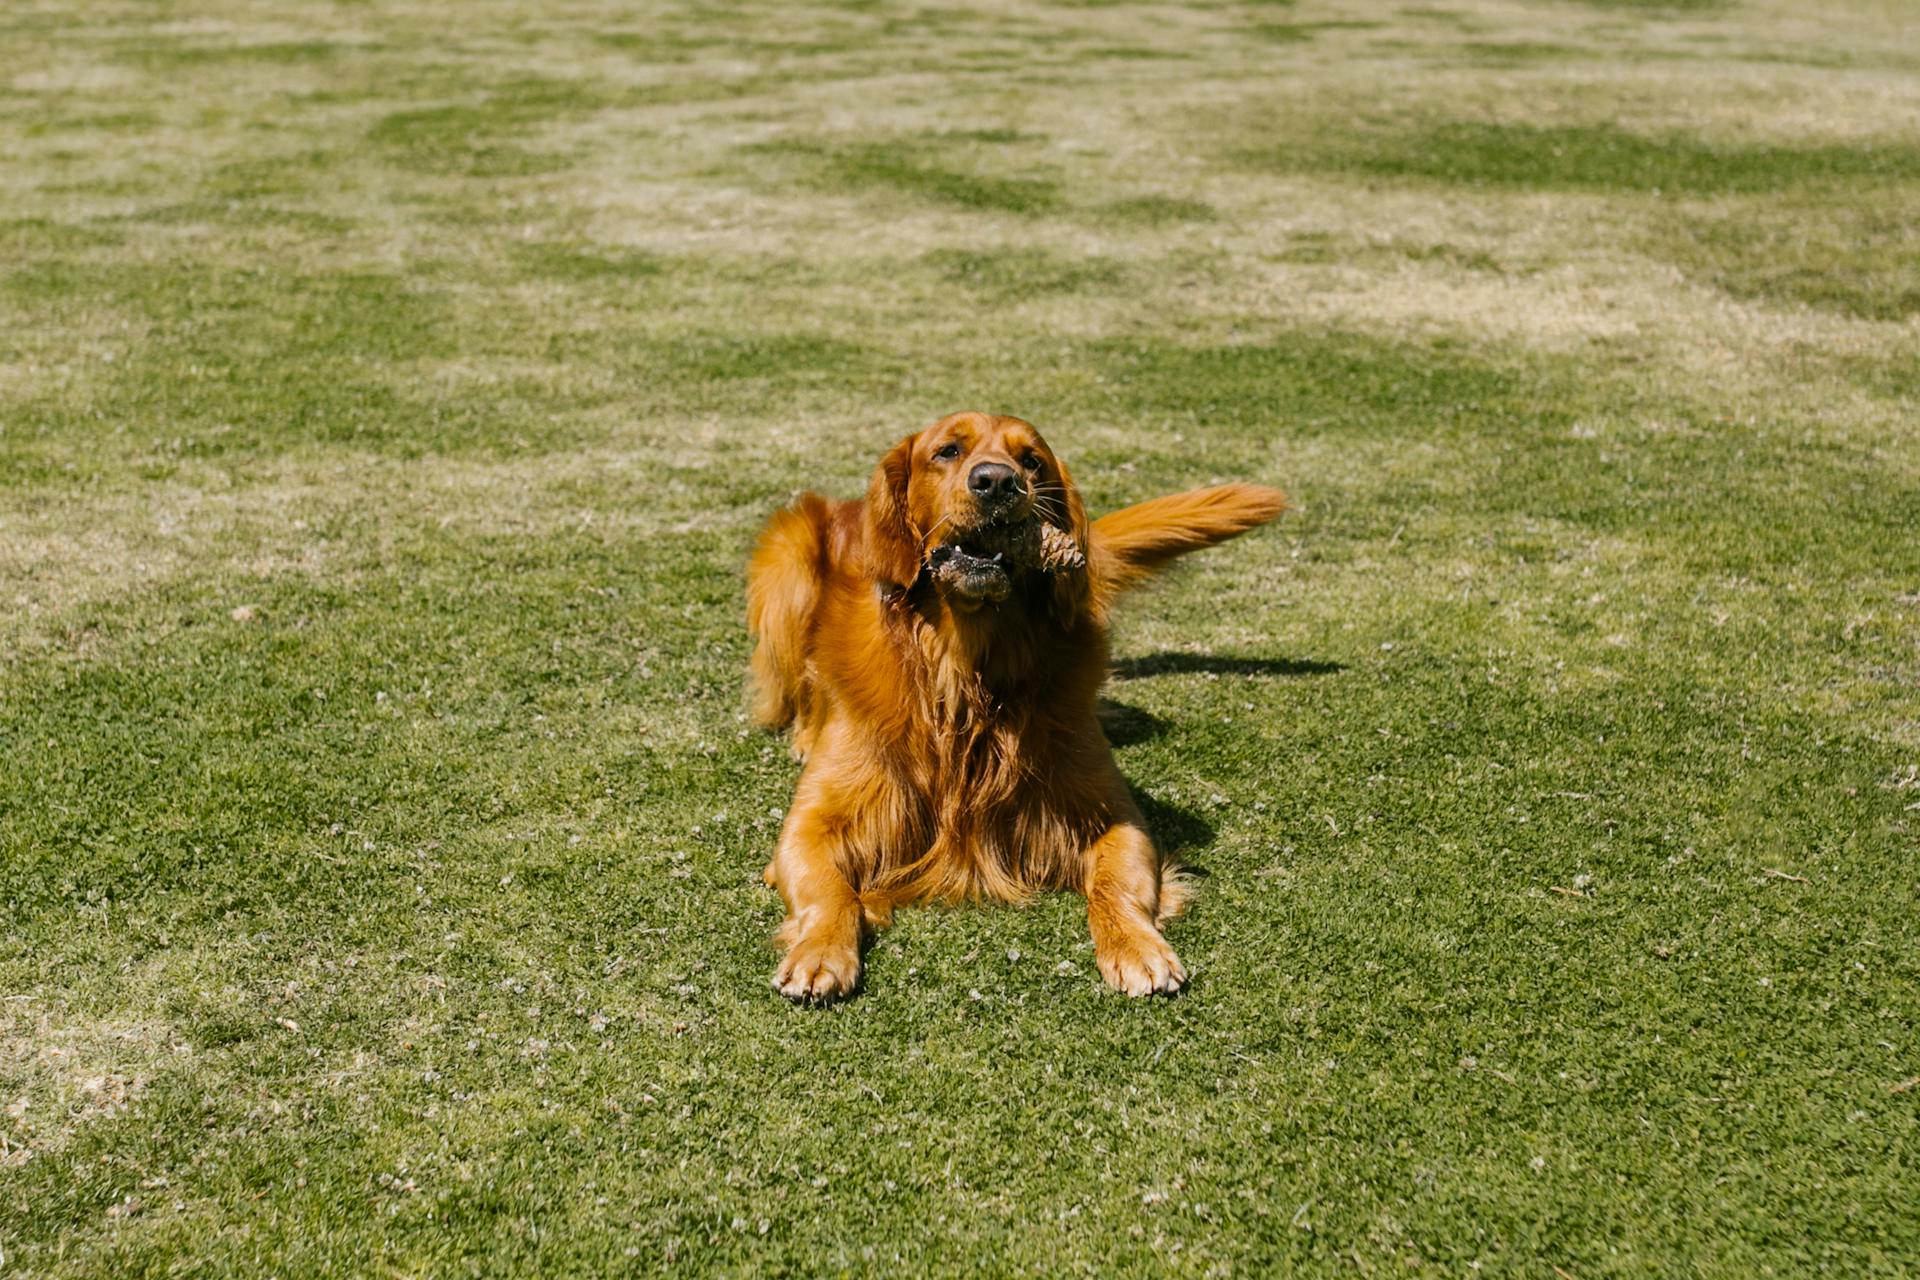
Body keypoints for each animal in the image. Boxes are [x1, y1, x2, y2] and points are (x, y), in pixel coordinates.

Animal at [741, 410, 1282, 997]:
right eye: (948, 451)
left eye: (1032, 461)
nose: (998, 482)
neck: (965, 673)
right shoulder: (811, 826)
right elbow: (828, 891)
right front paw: (820, 950)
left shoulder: (1116, 816)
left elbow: (1117, 883)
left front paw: (1138, 945)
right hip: (789, 561)